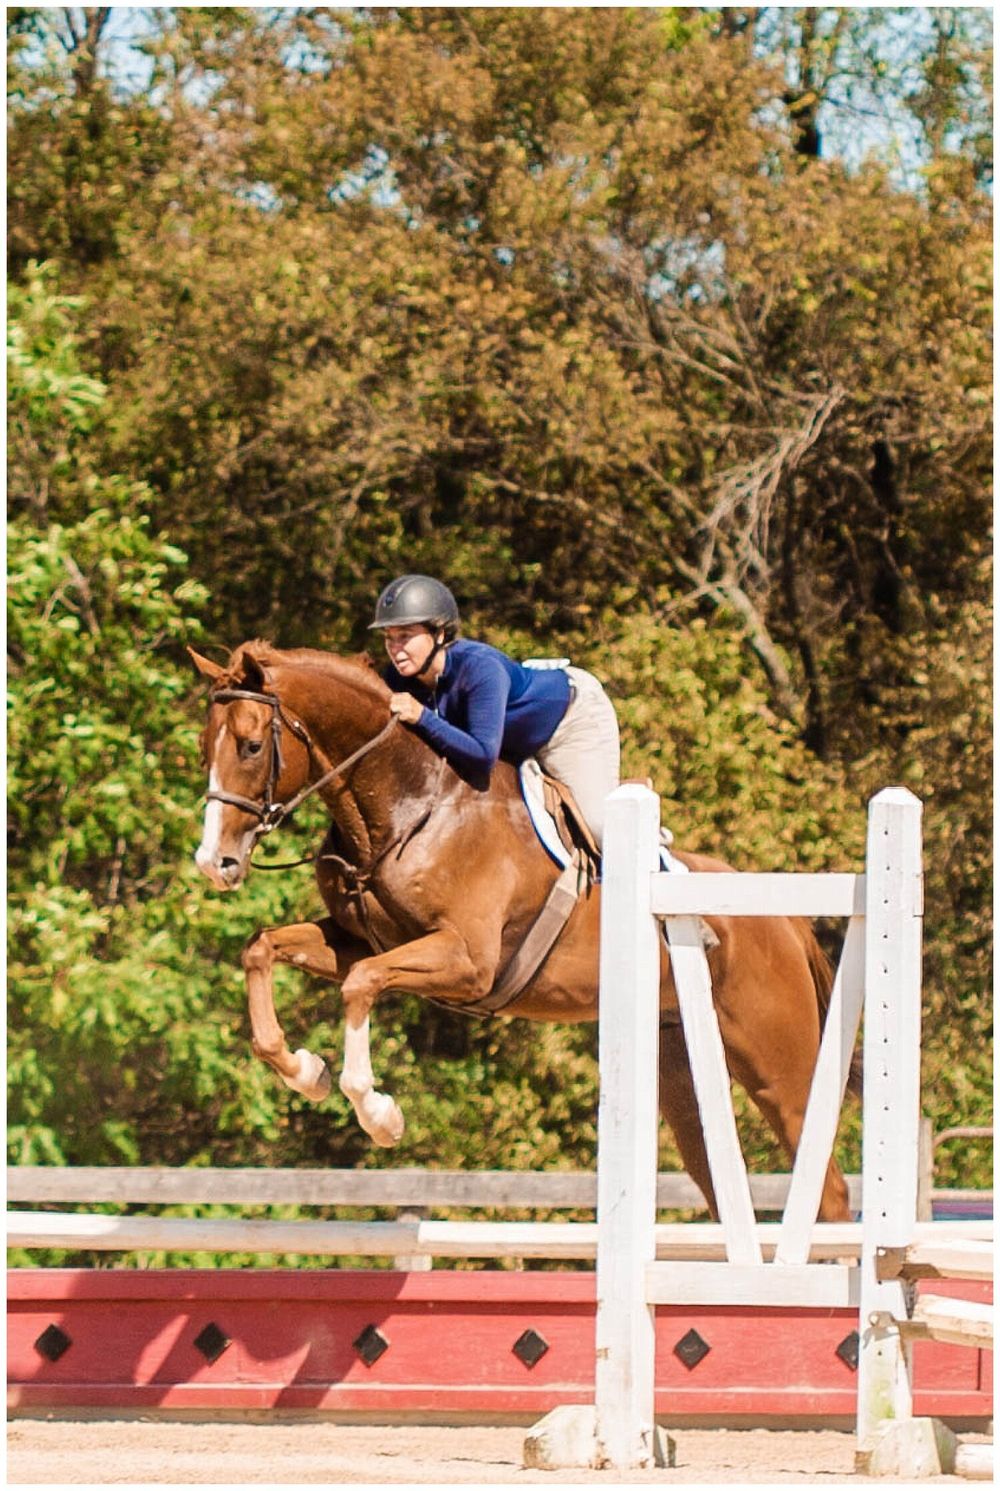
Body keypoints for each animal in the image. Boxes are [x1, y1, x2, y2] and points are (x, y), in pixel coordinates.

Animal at [189, 639, 857, 1221]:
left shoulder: (467, 963)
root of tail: (785, 920)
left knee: (826, 1187)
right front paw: (306, 1072)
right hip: (682, 1067)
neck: (408, 807)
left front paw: (380, 1114)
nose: (214, 863)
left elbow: (362, 985)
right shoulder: (360, 941)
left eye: (251, 746)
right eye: (204, 748)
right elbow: (263, 949)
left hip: (779, 1065)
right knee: (720, 1184)